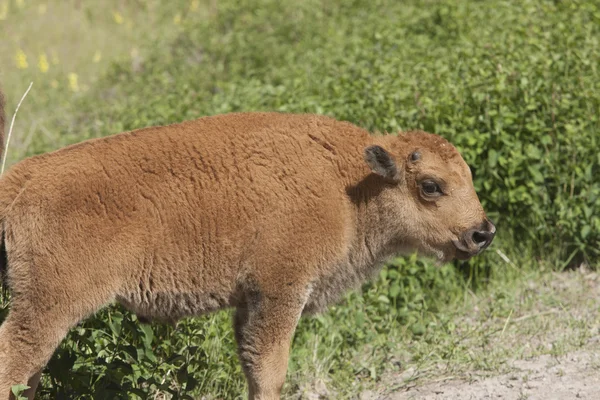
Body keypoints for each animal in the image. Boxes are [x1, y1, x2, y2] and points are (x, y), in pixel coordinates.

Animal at [0, 94, 494, 400]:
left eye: (469, 175)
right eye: (430, 186)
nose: (482, 233)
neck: (346, 183)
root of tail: (22, 179)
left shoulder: (247, 304)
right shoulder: (279, 292)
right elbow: (269, 371)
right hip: (47, 307)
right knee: (15, 362)